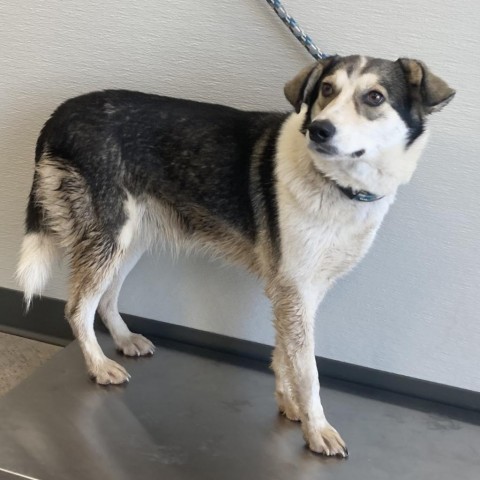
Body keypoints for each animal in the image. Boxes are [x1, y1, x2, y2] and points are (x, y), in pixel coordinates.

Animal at [16, 56, 456, 458]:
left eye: (374, 97)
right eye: (327, 90)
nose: (320, 129)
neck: (335, 183)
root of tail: (61, 114)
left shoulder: (296, 291)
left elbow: (285, 354)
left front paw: (289, 405)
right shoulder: (295, 289)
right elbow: (308, 370)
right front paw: (317, 430)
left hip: (131, 238)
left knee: (105, 298)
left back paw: (124, 340)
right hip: (109, 234)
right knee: (78, 308)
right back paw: (98, 366)